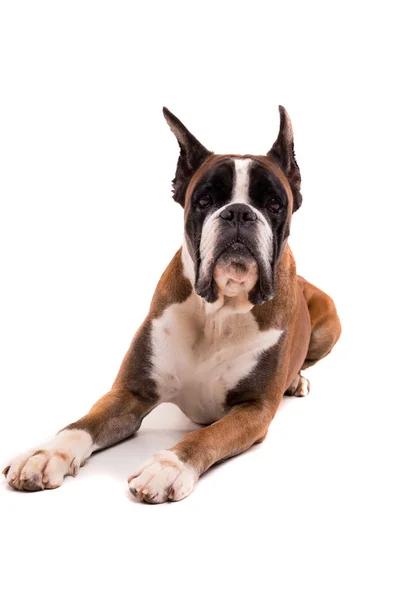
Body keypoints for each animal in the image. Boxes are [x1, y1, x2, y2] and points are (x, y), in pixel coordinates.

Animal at [3, 106, 340, 502]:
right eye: (205, 200)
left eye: (274, 203)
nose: (238, 213)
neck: (219, 312)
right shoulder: (130, 394)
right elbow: (82, 424)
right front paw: (45, 454)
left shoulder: (253, 410)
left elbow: (208, 434)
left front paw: (170, 465)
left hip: (330, 322)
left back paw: (297, 380)